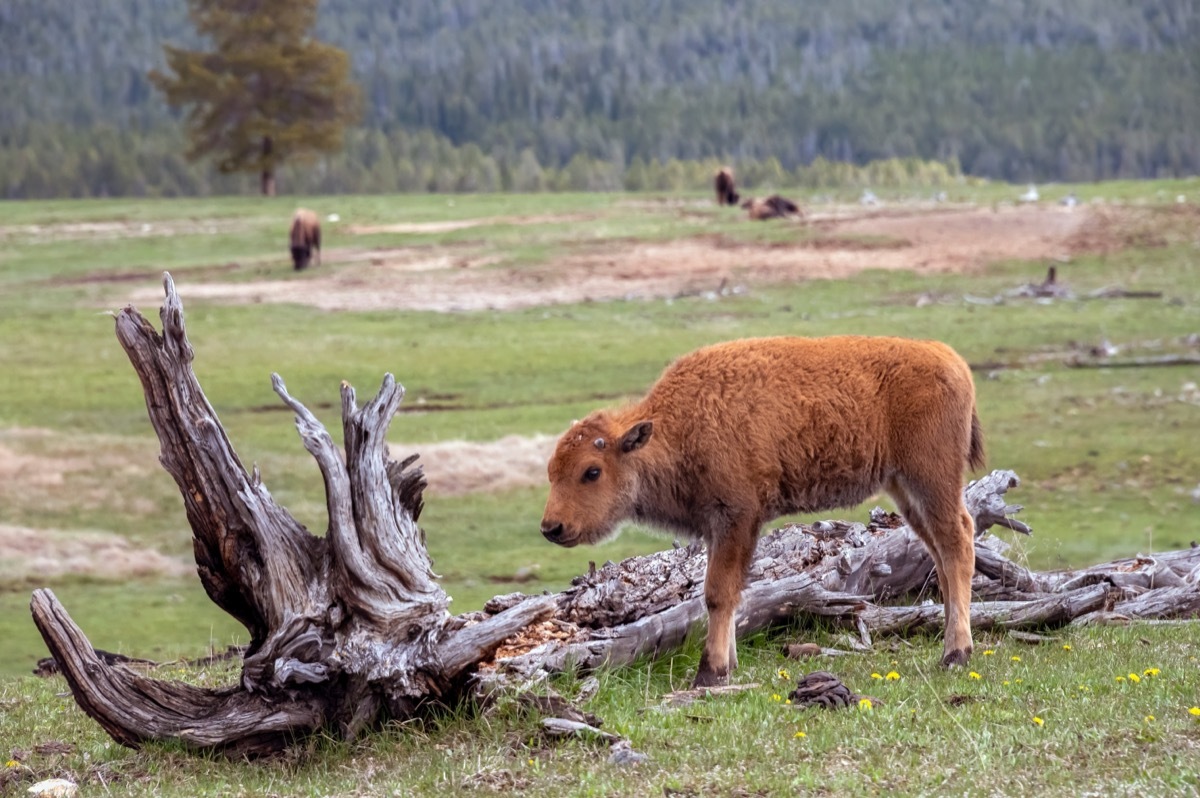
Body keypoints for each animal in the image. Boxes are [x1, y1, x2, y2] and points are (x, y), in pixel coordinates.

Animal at [544, 333, 984, 686]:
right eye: (551, 470)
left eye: (592, 471)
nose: (552, 527)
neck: (679, 426)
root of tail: (949, 357)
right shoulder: (719, 528)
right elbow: (730, 593)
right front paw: (728, 664)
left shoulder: (736, 518)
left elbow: (718, 593)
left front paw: (710, 672)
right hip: (906, 489)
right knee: (940, 554)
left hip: (931, 479)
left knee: (959, 541)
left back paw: (956, 653)